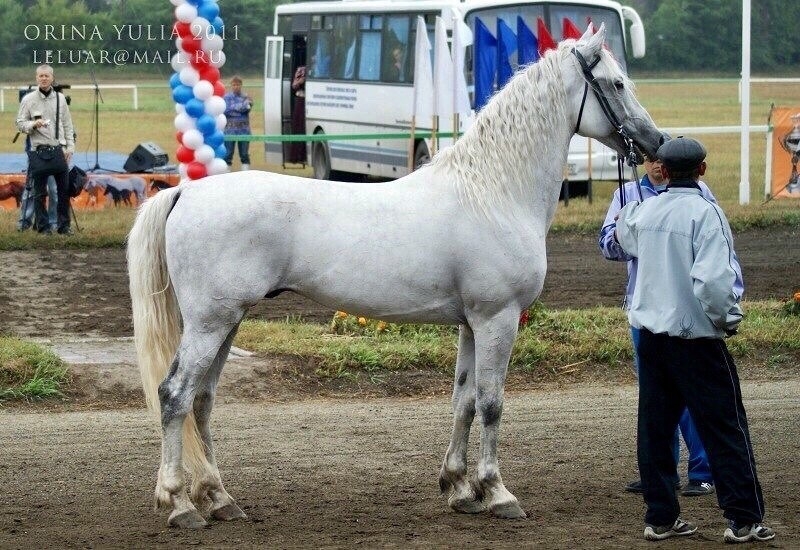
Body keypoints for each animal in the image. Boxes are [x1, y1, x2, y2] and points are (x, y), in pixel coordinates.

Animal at [128, 27, 663, 529]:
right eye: (617, 83)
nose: (656, 142)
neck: (493, 193)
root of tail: (185, 193)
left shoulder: (471, 324)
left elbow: (464, 401)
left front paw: (459, 488)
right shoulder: (499, 319)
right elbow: (492, 404)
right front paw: (497, 492)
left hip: (228, 322)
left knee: (202, 400)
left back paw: (219, 498)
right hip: (210, 323)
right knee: (175, 396)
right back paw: (179, 504)